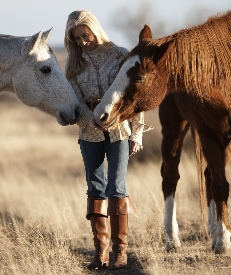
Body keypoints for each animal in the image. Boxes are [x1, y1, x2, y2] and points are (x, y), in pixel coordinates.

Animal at [94, 11, 231, 256]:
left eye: (139, 77)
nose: (101, 113)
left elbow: (218, 183)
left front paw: (222, 238)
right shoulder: (208, 133)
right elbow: (220, 185)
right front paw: (224, 242)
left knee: (206, 175)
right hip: (174, 128)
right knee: (171, 178)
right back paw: (173, 239)